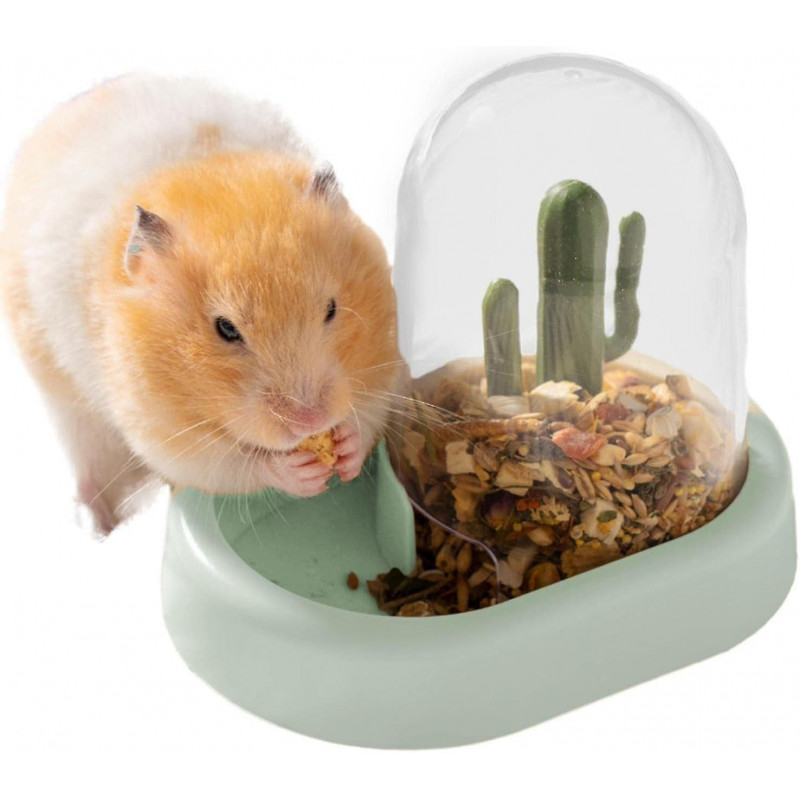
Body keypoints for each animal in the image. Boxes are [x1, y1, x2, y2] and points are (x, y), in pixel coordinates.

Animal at [0, 75, 403, 535]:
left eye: (332, 309)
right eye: (225, 329)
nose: (311, 421)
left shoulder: (384, 367)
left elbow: (368, 414)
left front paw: (347, 448)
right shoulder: (167, 434)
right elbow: (236, 464)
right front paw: (300, 473)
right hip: (69, 410)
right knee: (91, 468)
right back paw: (97, 526)